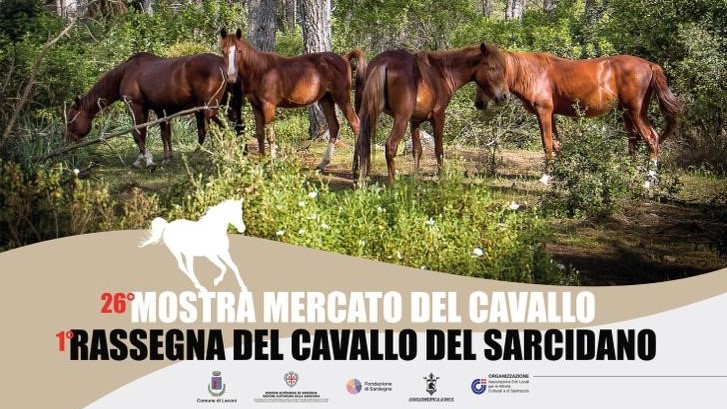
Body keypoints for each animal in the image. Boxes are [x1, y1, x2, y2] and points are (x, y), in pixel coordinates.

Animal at [66, 52, 244, 168]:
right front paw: (164, 158)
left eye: (71, 120)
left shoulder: (136, 107)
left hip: (208, 109)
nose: (68, 141)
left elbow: (137, 133)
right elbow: (162, 134)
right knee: (229, 127)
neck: (126, 73)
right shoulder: (160, 110)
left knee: (218, 129)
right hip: (222, 108)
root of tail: (223, 65)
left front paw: (147, 160)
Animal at [220, 28, 366, 170]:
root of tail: (344, 58)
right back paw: (323, 164)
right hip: (327, 99)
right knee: (334, 126)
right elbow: (260, 134)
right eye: (223, 50)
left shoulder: (268, 106)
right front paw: (262, 163)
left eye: (239, 50)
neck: (260, 71)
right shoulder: (256, 106)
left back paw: (357, 166)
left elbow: (270, 135)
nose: (231, 76)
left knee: (356, 124)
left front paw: (272, 164)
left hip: (342, 97)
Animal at [353, 44, 510, 183]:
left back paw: (360, 179)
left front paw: (415, 180)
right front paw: (441, 178)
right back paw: (392, 183)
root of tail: (384, 62)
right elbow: (438, 149)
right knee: (390, 146)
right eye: (492, 68)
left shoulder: (414, 121)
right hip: (400, 120)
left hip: (369, 114)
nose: (505, 95)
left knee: (361, 144)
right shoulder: (439, 116)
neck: (441, 72)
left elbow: (417, 150)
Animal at [473, 51, 683, 184]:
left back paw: (648, 181)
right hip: (627, 112)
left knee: (651, 139)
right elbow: (556, 143)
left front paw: (546, 177)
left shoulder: (544, 112)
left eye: (486, 76)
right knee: (634, 140)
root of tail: (650, 65)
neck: (533, 73)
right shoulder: (551, 115)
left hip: (636, 111)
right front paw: (560, 174)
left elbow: (547, 143)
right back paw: (628, 175)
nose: (479, 104)